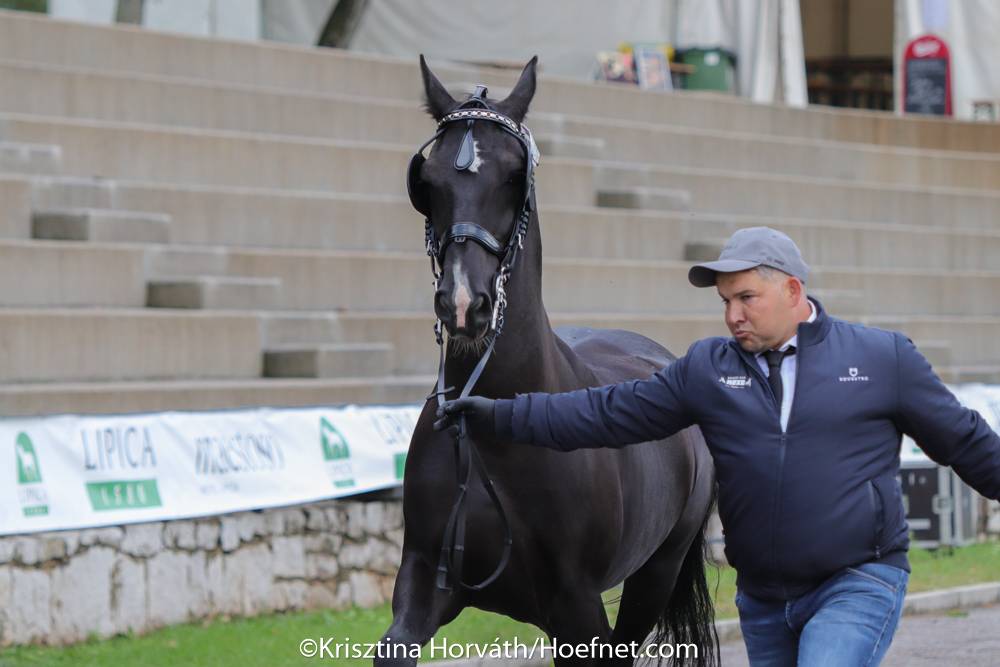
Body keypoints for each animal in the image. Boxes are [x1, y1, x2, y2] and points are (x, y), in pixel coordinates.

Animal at [375, 56, 719, 667]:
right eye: (427, 181)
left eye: (515, 176)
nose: (462, 303)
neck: (493, 435)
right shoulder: (422, 580)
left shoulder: (577, 609)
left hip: (656, 573)